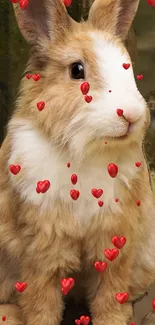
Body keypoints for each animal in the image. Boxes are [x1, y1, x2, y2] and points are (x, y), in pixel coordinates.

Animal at [0, 0, 155, 322]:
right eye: (77, 70)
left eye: (128, 66)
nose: (131, 115)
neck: (87, 150)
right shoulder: (41, 245)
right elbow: (42, 301)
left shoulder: (115, 239)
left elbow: (110, 295)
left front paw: (113, 320)